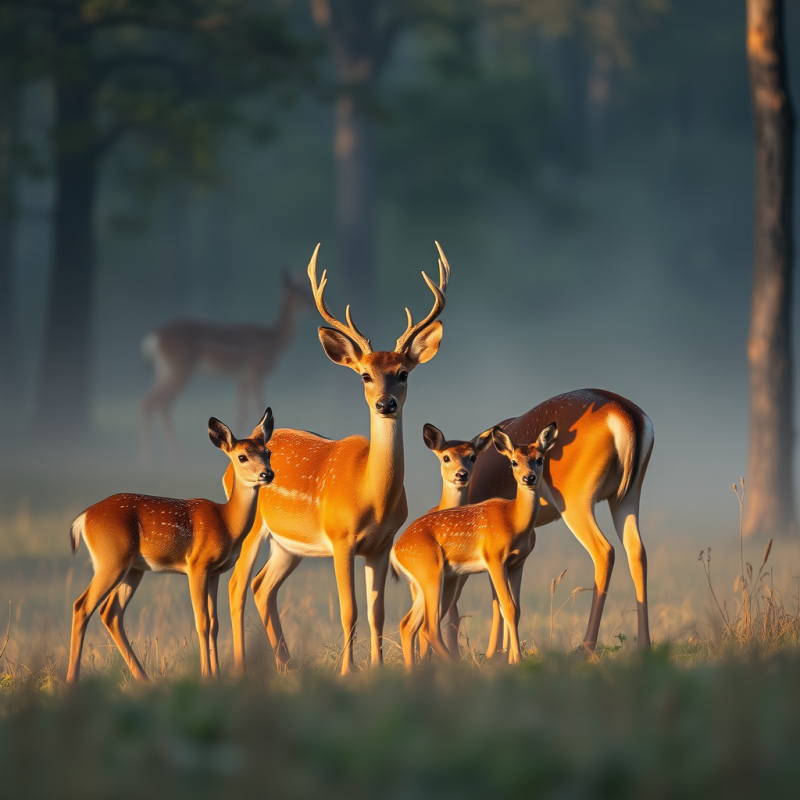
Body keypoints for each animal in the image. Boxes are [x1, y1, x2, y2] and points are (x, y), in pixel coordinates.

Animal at [66, 408, 275, 683]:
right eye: (242, 457)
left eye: (268, 453)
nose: (267, 474)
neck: (226, 522)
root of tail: (84, 517)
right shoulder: (197, 565)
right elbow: (202, 622)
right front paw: (206, 677)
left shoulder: (216, 572)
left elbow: (215, 624)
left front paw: (217, 676)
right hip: (111, 560)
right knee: (82, 606)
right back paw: (72, 680)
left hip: (133, 569)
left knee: (110, 613)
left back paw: (144, 679)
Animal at [141, 272, 311, 461]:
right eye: (299, 292)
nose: (312, 303)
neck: (272, 339)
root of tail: (154, 338)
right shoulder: (256, 373)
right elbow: (258, 407)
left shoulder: (243, 377)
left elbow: (241, 412)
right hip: (179, 369)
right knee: (156, 402)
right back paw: (161, 458)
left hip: (165, 370)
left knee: (154, 402)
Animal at [222, 243, 451, 676]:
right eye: (364, 375)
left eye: (403, 373)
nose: (385, 404)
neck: (371, 495)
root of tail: (231, 462)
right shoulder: (341, 537)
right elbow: (350, 610)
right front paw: (348, 670)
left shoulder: (381, 545)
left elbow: (377, 612)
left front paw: (377, 668)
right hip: (255, 524)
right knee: (237, 583)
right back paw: (243, 666)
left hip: (289, 545)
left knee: (263, 586)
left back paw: (287, 664)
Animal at [392, 423, 558, 670]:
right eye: (514, 462)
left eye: (540, 459)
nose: (529, 478)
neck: (514, 520)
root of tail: (396, 550)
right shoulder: (494, 558)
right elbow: (508, 608)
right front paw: (517, 661)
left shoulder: (518, 563)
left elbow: (515, 610)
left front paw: (511, 660)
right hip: (431, 573)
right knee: (429, 627)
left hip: (431, 580)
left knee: (407, 624)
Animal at [459, 389, 654, 658]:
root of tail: (621, 409)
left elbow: (497, 598)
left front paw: (494, 654)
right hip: (625, 499)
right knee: (637, 552)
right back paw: (644, 646)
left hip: (576, 506)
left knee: (605, 551)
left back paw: (587, 648)